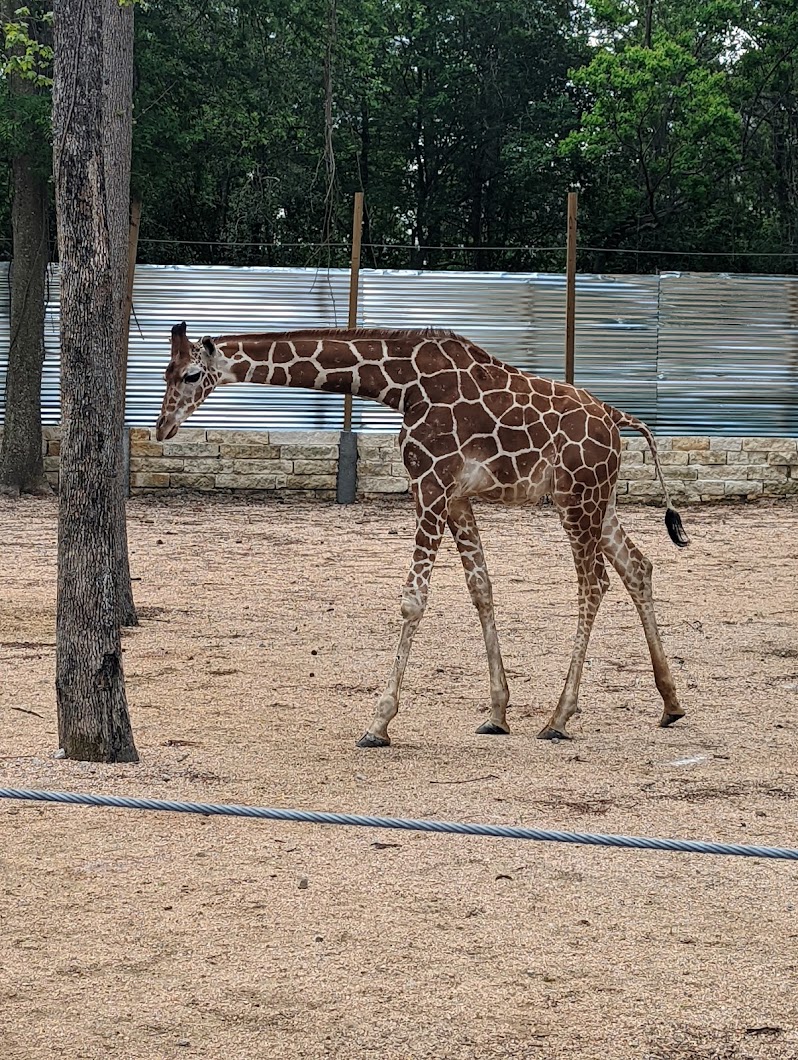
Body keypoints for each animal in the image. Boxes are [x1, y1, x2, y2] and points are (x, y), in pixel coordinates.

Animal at [156, 322, 690, 746]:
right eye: (165, 372)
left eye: (189, 375)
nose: (162, 428)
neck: (400, 385)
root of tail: (618, 420)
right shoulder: (455, 495)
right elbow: (481, 589)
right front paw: (497, 712)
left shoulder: (429, 483)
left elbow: (414, 600)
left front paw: (378, 723)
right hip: (599, 499)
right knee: (638, 567)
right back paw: (670, 703)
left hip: (577, 499)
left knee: (593, 582)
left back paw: (559, 718)